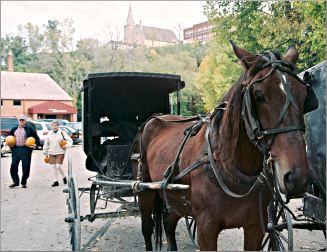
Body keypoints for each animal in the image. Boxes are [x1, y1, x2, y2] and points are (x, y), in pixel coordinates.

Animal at [131, 41, 318, 250]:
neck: (227, 166)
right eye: (259, 95)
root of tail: (153, 119)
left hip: (174, 197)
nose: (297, 177)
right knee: (147, 228)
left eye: (304, 95)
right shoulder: (206, 229)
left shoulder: (255, 227)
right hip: (144, 190)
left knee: (168, 222)